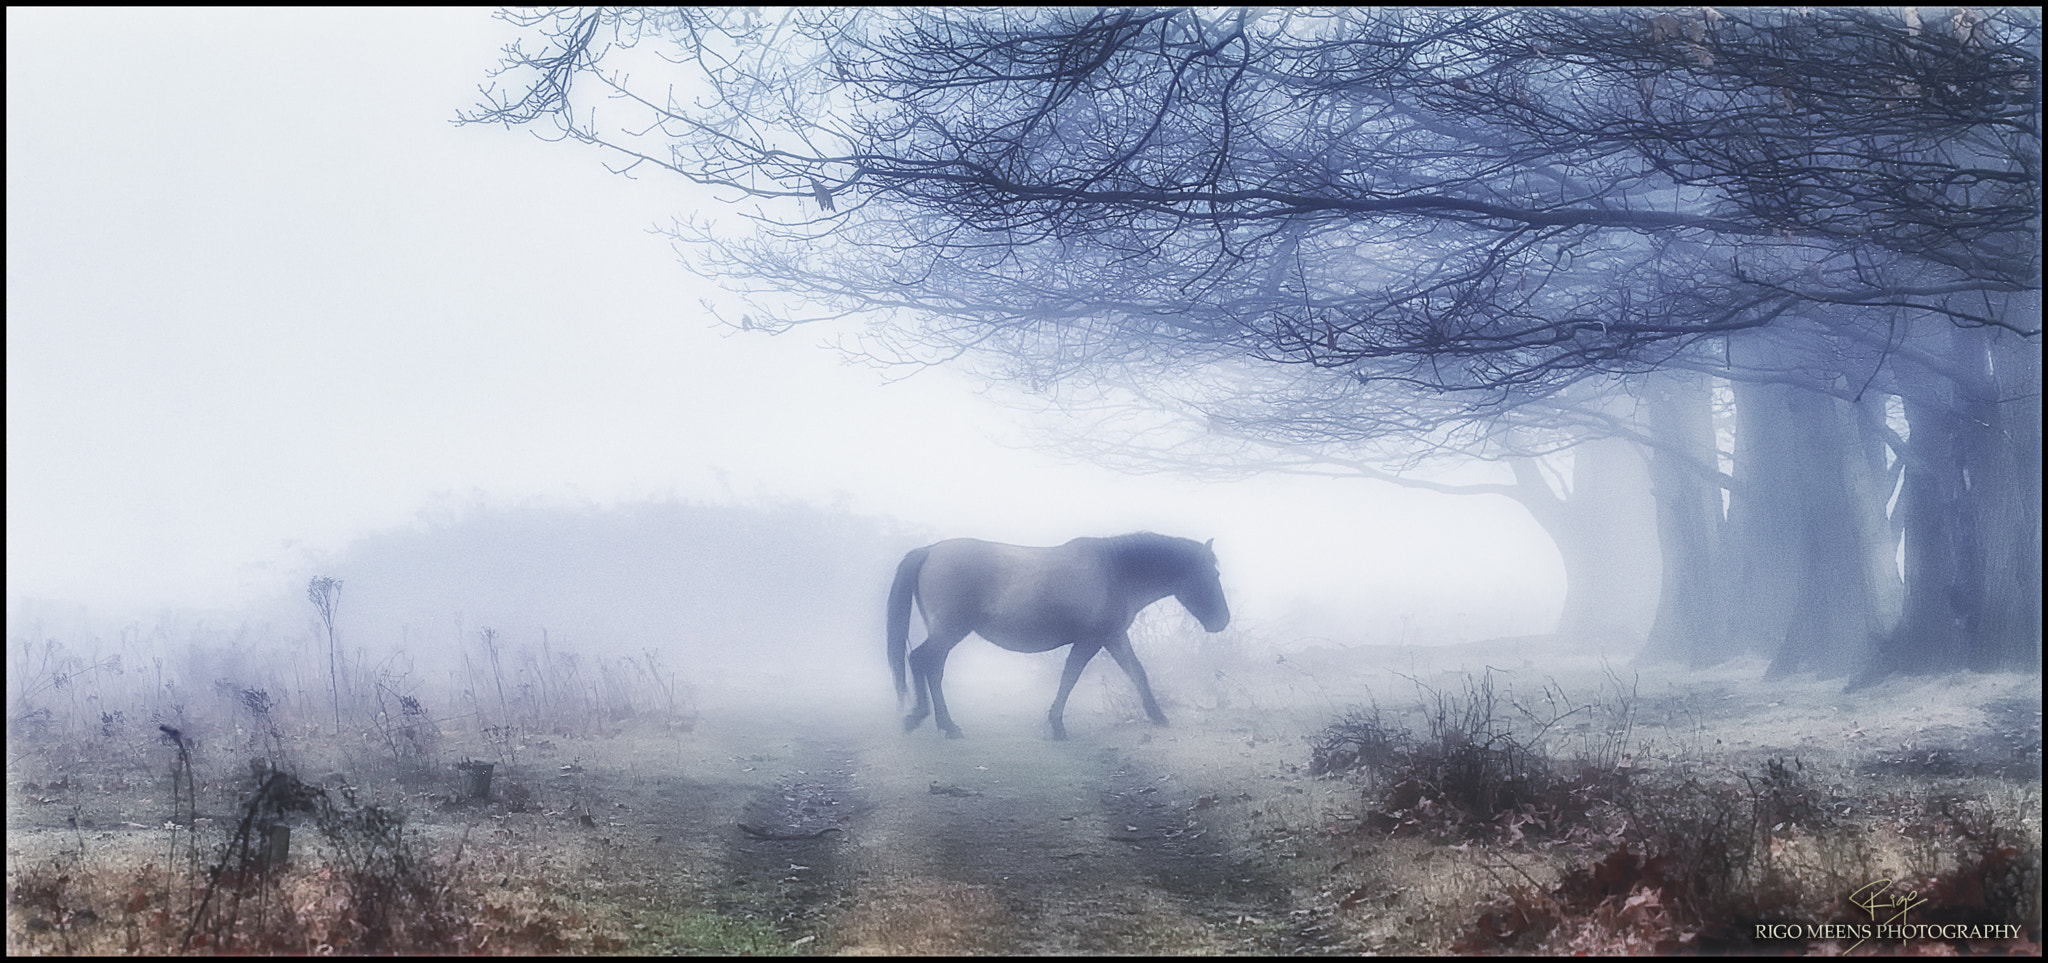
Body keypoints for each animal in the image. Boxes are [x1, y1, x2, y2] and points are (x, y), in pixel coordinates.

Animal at [884, 528, 1228, 741]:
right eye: (1212, 575)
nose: (1222, 621)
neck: (1115, 571)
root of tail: (930, 552)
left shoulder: (1113, 637)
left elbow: (1137, 672)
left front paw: (1158, 716)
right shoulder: (1091, 640)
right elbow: (1070, 677)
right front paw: (1057, 724)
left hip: (947, 633)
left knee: (932, 668)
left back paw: (943, 723)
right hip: (950, 631)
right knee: (921, 661)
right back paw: (927, 718)